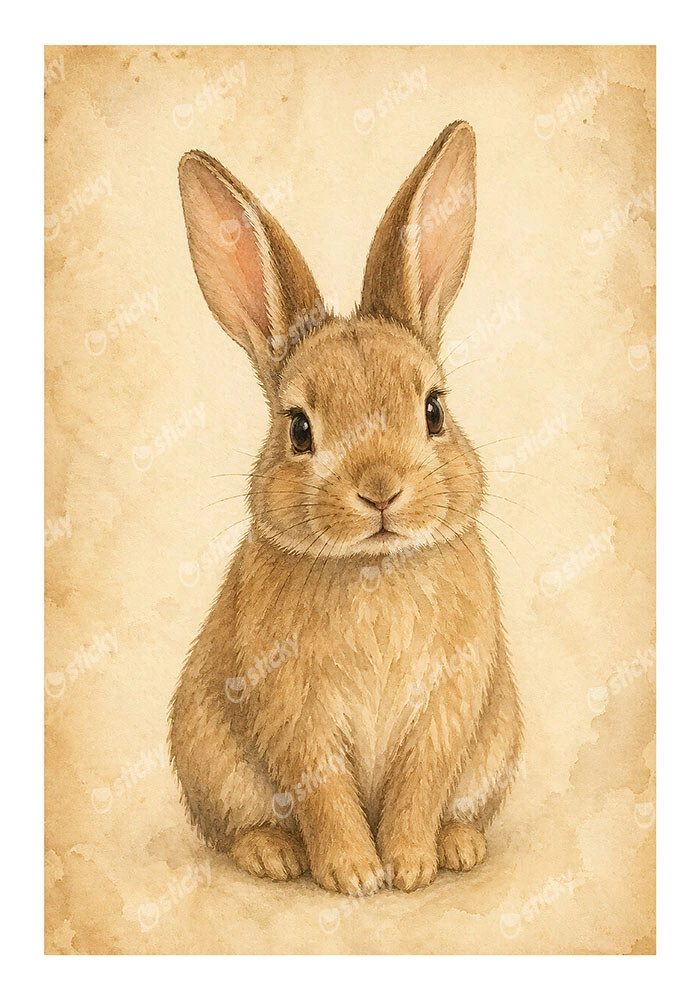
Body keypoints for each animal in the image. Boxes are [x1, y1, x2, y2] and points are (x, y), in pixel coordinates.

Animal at [169, 121, 523, 895]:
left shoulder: (449, 702)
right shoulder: (292, 709)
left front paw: (411, 867)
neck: (375, 567)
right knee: (238, 825)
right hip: (209, 758)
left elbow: (421, 783)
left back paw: (460, 846)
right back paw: (273, 855)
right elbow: (323, 791)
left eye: (434, 409)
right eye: (299, 428)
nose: (380, 490)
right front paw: (356, 875)